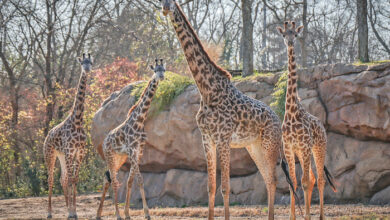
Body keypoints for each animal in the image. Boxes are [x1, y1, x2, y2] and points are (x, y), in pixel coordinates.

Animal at [43, 52, 92, 218]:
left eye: (90, 62)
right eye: (82, 62)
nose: (87, 69)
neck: (77, 121)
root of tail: (47, 135)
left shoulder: (79, 152)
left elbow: (74, 179)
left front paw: (73, 211)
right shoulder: (71, 152)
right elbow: (71, 179)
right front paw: (71, 212)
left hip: (62, 155)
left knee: (62, 179)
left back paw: (66, 207)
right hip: (50, 154)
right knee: (51, 179)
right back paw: (49, 212)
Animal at [96, 58, 166, 220]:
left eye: (164, 69)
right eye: (155, 70)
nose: (161, 77)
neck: (140, 120)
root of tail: (104, 142)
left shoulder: (139, 151)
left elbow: (131, 180)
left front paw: (128, 213)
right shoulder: (132, 150)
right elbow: (139, 179)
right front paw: (146, 213)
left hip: (119, 158)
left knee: (108, 179)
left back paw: (99, 214)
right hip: (110, 156)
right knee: (113, 180)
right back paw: (116, 214)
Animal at [161, 0, 290, 219]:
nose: (165, 8)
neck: (207, 91)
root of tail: (277, 119)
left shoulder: (223, 138)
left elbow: (225, 187)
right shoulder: (207, 139)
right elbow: (211, 187)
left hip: (269, 145)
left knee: (274, 179)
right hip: (254, 147)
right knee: (268, 179)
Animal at [276, 21, 336, 220]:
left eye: (294, 33)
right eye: (284, 34)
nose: (290, 42)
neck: (292, 111)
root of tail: (322, 127)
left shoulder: (303, 146)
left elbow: (304, 182)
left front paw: (307, 215)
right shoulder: (289, 148)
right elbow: (293, 182)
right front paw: (293, 216)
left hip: (318, 148)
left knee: (320, 179)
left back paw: (320, 216)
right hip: (304, 153)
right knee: (311, 178)